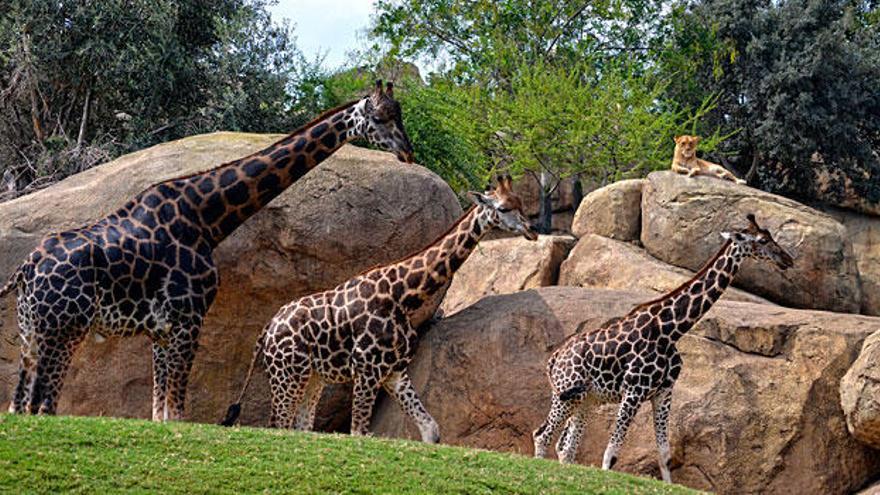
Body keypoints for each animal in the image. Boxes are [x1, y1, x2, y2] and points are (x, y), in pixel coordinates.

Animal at [0, 79, 414, 420]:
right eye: (380, 117)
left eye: (400, 114)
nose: (408, 153)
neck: (206, 220)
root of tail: (25, 269)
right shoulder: (190, 317)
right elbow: (177, 411)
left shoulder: (162, 329)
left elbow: (160, 412)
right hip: (64, 328)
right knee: (41, 405)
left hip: (30, 332)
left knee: (19, 404)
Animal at [220, 174, 536, 442]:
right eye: (505, 207)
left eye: (521, 204)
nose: (532, 231)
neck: (404, 296)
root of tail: (267, 330)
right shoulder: (367, 369)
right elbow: (359, 432)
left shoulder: (394, 372)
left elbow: (431, 430)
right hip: (288, 373)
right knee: (278, 423)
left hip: (312, 377)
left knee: (301, 425)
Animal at [532, 214, 796, 484]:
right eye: (762, 240)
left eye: (771, 237)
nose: (788, 260)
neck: (670, 331)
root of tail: (554, 358)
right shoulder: (634, 391)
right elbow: (612, 451)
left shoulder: (663, 392)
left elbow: (664, 454)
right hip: (566, 393)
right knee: (542, 435)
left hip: (586, 399)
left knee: (566, 447)